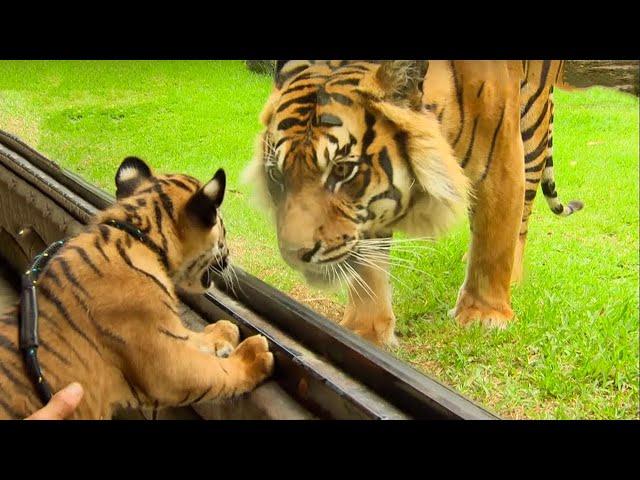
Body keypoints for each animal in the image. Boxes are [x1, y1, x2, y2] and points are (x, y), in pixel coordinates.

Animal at [0, 158, 272, 420]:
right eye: (222, 227)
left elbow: (193, 336)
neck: (141, 234)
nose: (229, 256)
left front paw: (224, 330)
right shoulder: (169, 365)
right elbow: (218, 372)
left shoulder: (166, 330)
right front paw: (254, 356)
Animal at [246, 60, 584, 346]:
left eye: (342, 170)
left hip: (533, 131)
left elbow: (496, 239)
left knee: (521, 220)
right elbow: (368, 266)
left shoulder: (502, 159)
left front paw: (484, 315)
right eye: (277, 175)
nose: (295, 255)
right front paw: (366, 331)